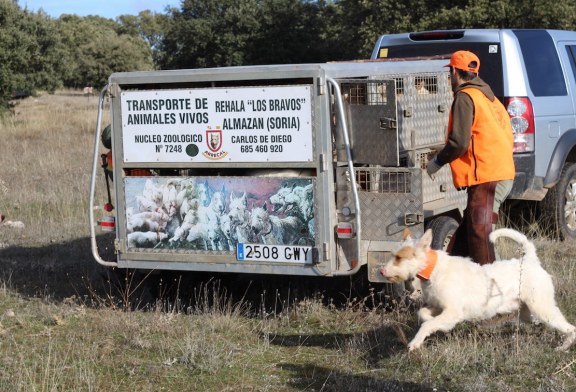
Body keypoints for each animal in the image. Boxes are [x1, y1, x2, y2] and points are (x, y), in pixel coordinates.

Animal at [380, 227, 572, 352]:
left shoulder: (453, 312)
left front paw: (416, 342)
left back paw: (564, 346)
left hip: (542, 309)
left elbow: (428, 325)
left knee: (570, 328)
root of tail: (530, 260)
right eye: (392, 255)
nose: (381, 271)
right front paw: (440, 326)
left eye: (399, 257)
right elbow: (423, 315)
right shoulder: (438, 306)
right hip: (529, 312)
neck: (435, 269)